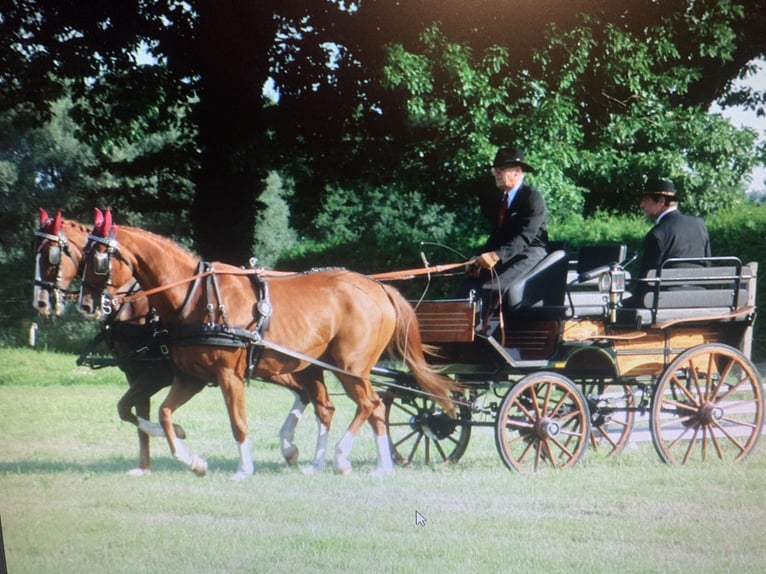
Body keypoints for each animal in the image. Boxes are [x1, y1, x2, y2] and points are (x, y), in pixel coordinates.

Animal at [34, 212, 332, 476]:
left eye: (53, 255)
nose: (42, 301)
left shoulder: (158, 373)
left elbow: (136, 411)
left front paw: (175, 437)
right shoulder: (138, 373)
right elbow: (130, 410)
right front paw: (146, 465)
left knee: (311, 396)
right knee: (308, 395)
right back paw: (291, 448)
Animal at [80, 209, 460, 480]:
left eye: (98, 259)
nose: (86, 304)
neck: (195, 297)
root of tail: (378, 288)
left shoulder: (227, 375)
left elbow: (238, 422)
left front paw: (243, 469)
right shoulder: (191, 377)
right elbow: (164, 413)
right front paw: (194, 461)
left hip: (350, 367)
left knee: (370, 404)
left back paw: (342, 458)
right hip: (322, 366)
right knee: (354, 408)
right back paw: (365, 465)